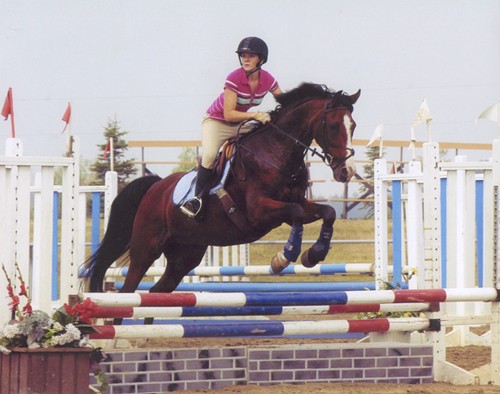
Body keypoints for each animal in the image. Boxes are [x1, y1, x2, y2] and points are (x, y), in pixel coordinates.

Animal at [84, 83, 362, 298]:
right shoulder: (259, 212)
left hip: (185, 254)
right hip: (146, 248)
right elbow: (295, 213)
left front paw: (313, 255)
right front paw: (284, 257)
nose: (346, 171)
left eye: (354, 126)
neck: (276, 152)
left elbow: (326, 213)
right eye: (334, 126)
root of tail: (155, 187)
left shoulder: (295, 205)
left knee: (156, 293)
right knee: (128, 293)